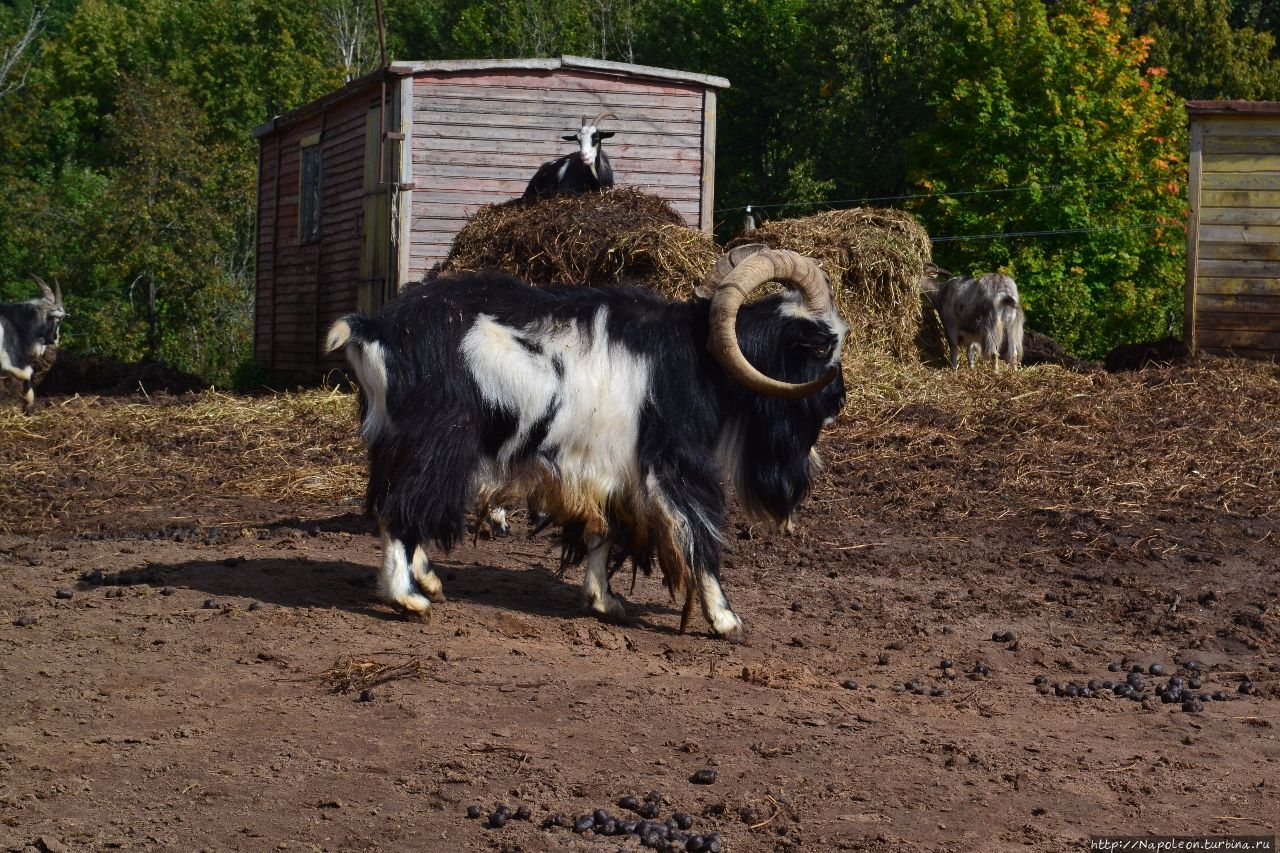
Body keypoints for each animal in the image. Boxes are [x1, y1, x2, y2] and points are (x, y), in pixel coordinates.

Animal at [330, 245, 849, 637]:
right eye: (824, 345)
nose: (839, 399)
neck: (695, 358)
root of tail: (374, 330)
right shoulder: (674, 464)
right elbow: (698, 533)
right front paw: (725, 620)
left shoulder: (609, 469)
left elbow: (606, 529)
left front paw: (604, 600)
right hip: (437, 442)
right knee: (399, 509)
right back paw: (407, 598)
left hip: (400, 444)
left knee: (403, 505)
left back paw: (428, 580)